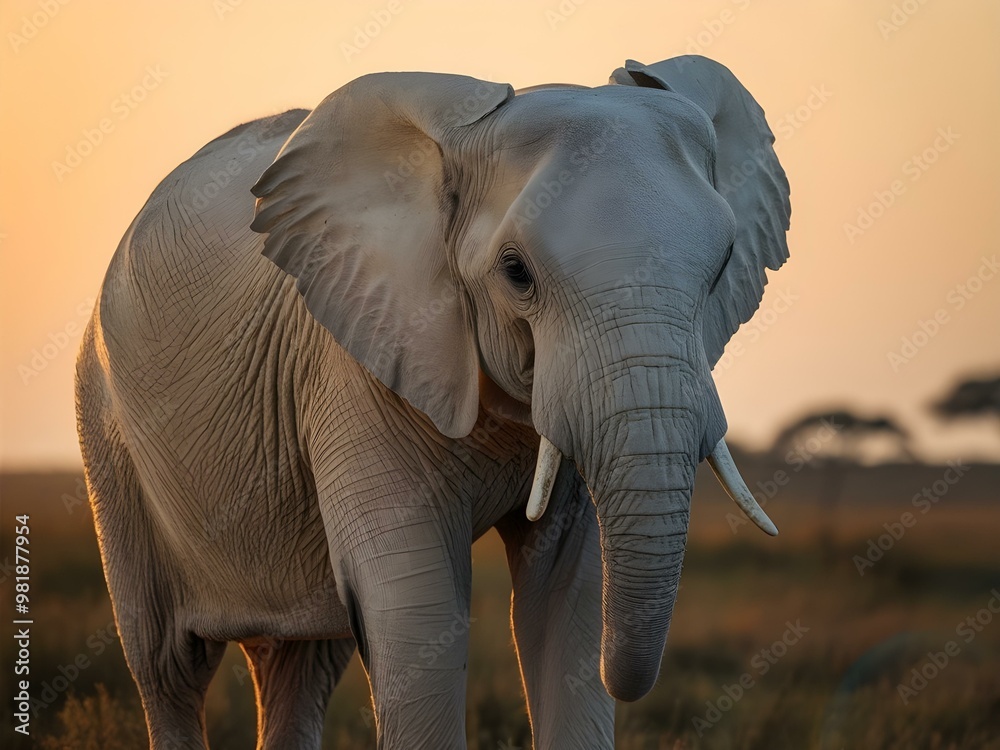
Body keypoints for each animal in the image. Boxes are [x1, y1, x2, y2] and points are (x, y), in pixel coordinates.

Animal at [75, 55, 789, 749]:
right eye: (516, 271)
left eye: (724, 263)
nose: (632, 683)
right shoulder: (356, 366)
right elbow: (417, 610)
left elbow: (568, 594)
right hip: (106, 435)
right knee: (168, 666)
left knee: (301, 662)